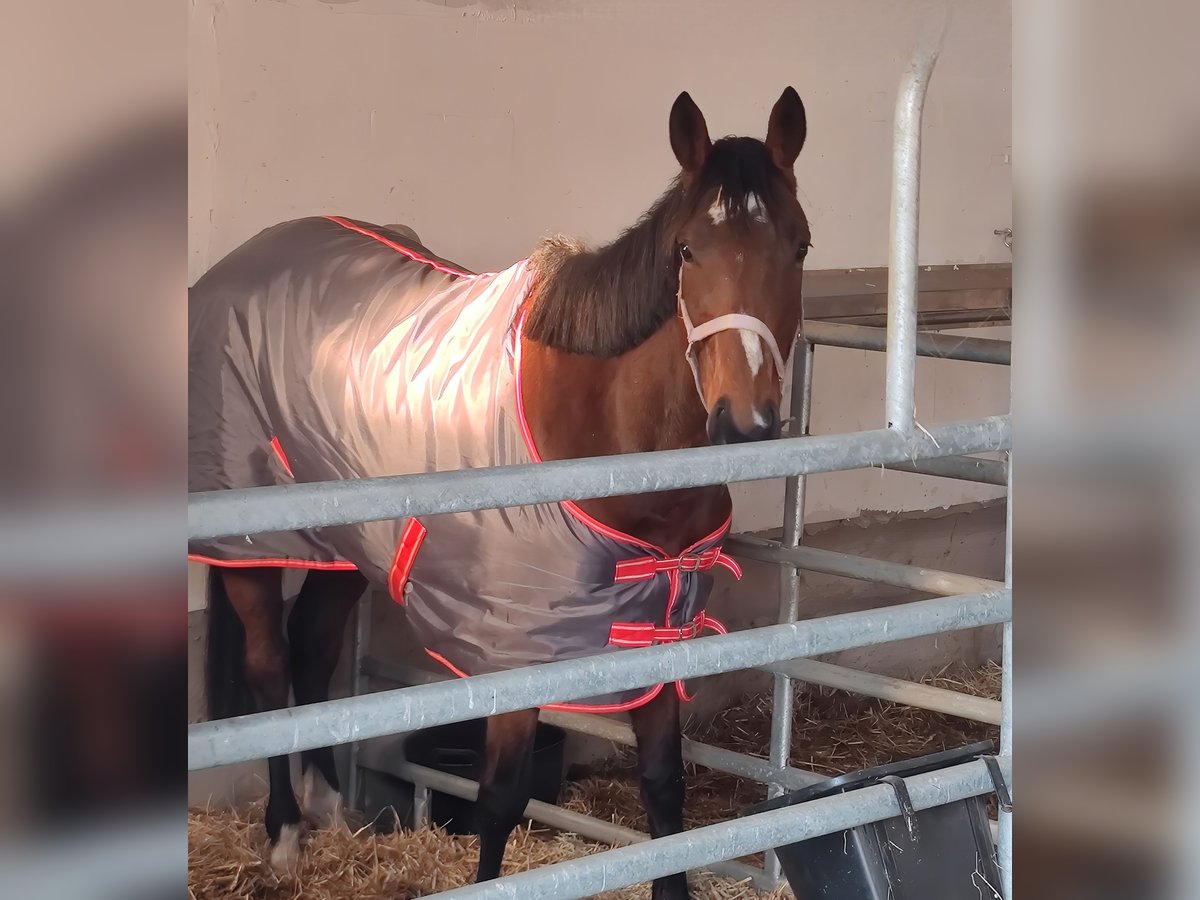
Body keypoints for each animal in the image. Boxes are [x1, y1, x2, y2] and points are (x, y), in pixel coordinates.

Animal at [191, 87, 811, 898]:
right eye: (686, 251)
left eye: (799, 248)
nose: (746, 423)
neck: (609, 439)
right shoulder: (514, 651)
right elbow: (501, 800)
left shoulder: (654, 634)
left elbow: (663, 788)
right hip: (253, 549)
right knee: (268, 667)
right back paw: (287, 836)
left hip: (349, 549)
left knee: (314, 649)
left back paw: (330, 809)